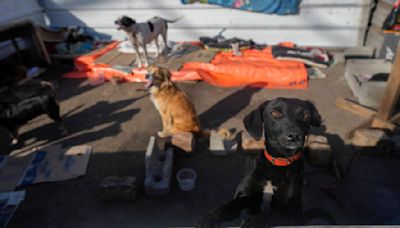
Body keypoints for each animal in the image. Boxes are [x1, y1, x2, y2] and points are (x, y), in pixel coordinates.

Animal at [197, 98, 334, 228]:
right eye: (274, 113)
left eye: (304, 115)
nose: (295, 136)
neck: (278, 163)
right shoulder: (246, 194)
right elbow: (231, 205)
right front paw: (210, 218)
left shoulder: (291, 214)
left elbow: (271, 213)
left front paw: (253, 222)